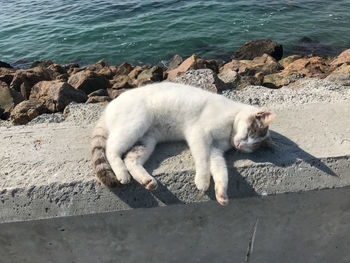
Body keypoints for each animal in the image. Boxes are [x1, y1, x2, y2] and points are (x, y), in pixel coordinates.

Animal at [91, 82, 276, 206]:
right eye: (250, 133)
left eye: (250, 147)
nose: (240, 146)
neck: (229, 132)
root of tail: (108, 107)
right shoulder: (199, 134)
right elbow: (203, 160)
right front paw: (202, 181)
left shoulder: (215, 150)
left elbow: (221, 172)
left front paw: (221, 194)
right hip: (135, 124)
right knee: (111, 149)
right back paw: (121, 173)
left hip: (147, 141)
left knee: (130, 159)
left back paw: (147, 181)